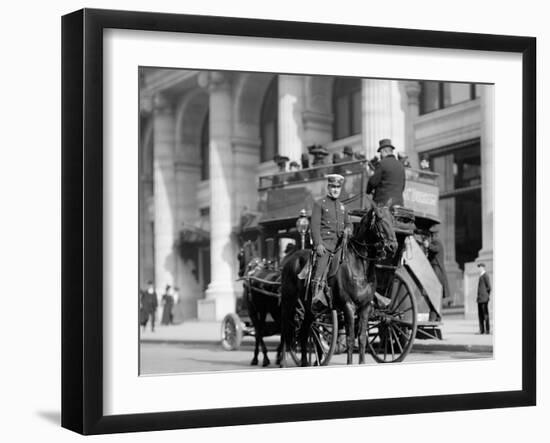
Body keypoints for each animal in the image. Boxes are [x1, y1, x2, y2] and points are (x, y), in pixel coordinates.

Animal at [282, 206, 398, 368]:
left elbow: (362, 338)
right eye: (380, 220)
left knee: (305, 331)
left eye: (393, 220)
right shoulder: (348, 306)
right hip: (289, 303)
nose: (393, 246)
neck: (359, 266)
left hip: (309, 308)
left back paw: (305, 363)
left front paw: (362, 362)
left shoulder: (365, 307)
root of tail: (289, 260)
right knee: (286, 331)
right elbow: (350, 338)